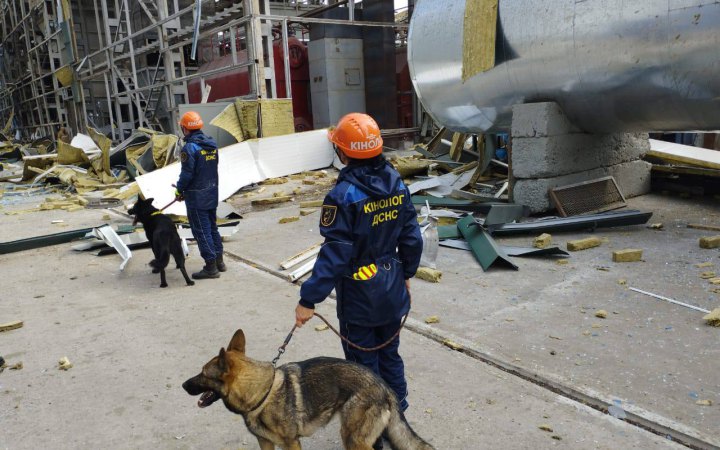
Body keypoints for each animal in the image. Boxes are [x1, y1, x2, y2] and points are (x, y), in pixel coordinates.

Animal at [183, 326, 436, 450]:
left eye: (203, 374)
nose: (183, 385)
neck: (260, 394)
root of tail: (384, 385)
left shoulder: (291, 444)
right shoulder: (265, 443)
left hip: (353, 438)